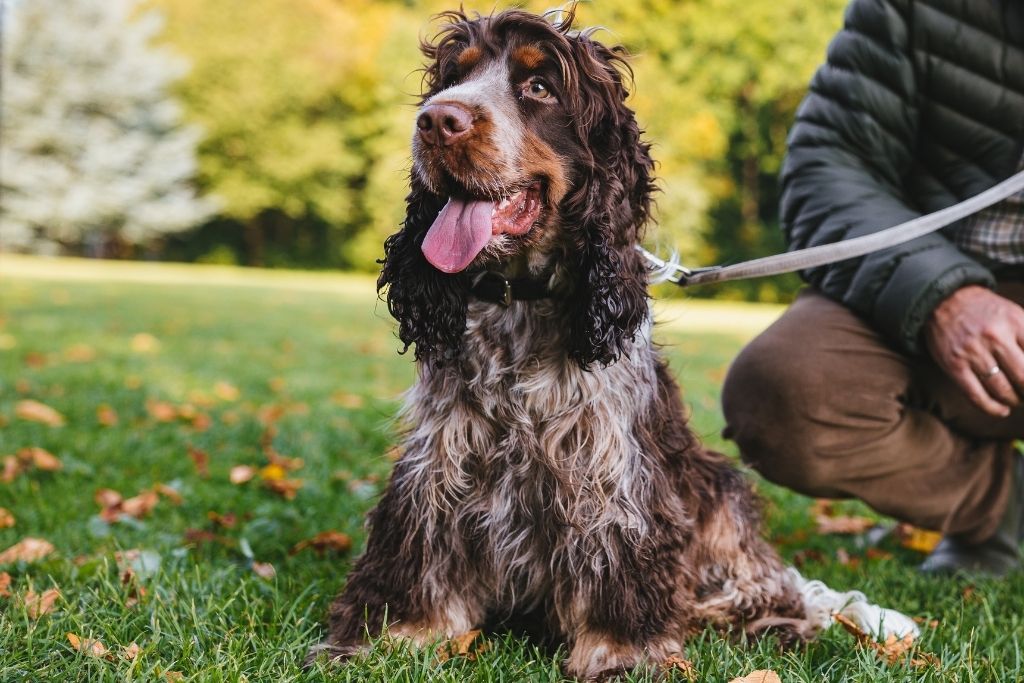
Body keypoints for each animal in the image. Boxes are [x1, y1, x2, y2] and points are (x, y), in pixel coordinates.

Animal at [307, 9, 917, 679]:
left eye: (539, 87)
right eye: (454, 79)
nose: (437, 120)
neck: (520, 302)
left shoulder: (613, 475)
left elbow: (617, 568)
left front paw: (623, 655)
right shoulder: (439, 460)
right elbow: (417, 557)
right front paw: (387, 637)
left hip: (721, 492)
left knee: (773, 588)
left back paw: (771, 620)